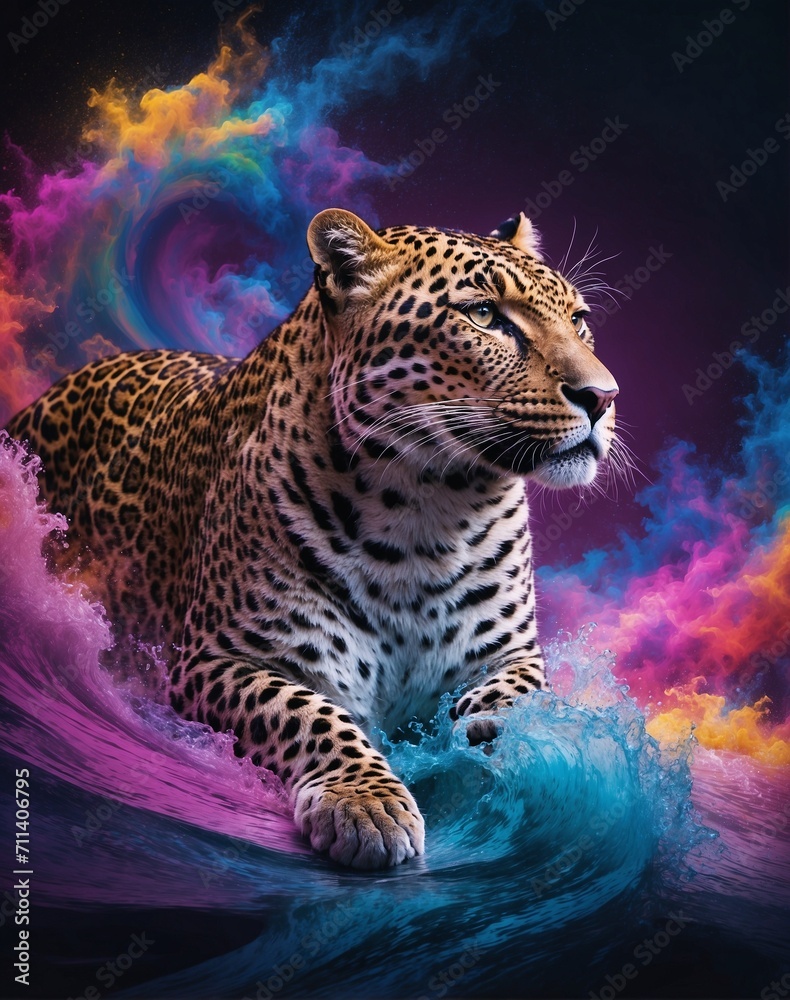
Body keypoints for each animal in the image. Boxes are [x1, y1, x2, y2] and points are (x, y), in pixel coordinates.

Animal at [5, 208, 619, 869]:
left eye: (579, 320)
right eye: (483, 315)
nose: (603, 397)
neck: (428, 515)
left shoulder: (512, 652)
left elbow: (520, 692)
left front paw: (500, 733)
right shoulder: (218, 659)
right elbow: (308, 714)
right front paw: (367, 802)